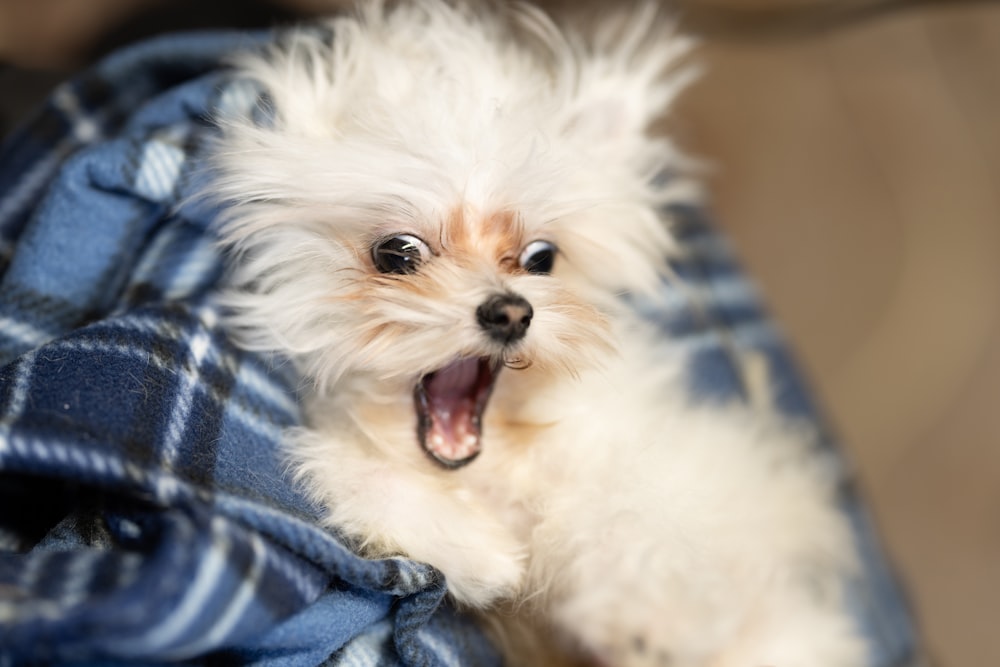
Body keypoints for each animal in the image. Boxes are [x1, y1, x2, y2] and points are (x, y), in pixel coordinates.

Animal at [209, 2, 868, 664]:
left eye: (541, 258)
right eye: (397, 253)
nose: (511, 312)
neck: (498, 467)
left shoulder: (651, 468)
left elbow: (633, 519)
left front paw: (635, 618)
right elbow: (354, 473)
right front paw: (486, 554)